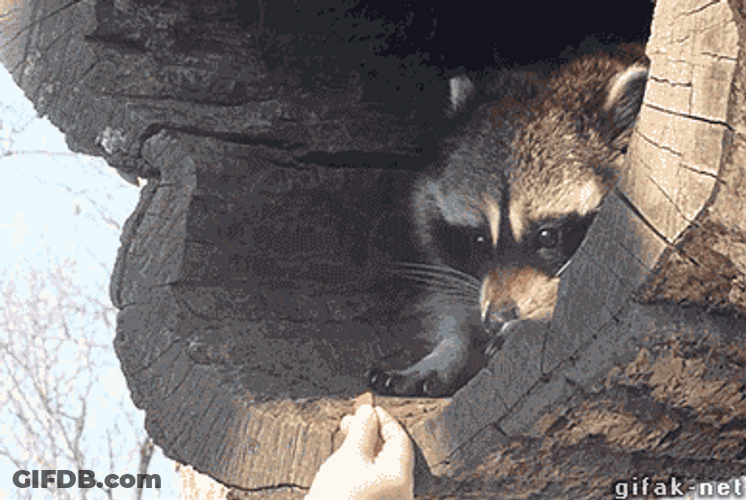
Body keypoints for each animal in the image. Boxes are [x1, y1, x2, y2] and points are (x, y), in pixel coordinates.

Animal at [368, 53, 648, 397]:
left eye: (547, 236)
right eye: (478, 240)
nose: (496, 318)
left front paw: (531, 316)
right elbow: (452, 293)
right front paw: (449, 349)